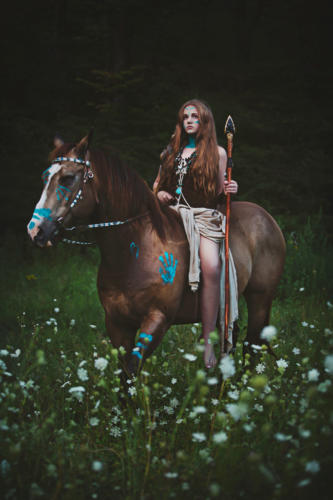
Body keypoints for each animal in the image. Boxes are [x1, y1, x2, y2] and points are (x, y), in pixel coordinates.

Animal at [27, 135, 284, 374]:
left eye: (68, 178)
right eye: (44, 177)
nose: (36, 231)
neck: (134, 251)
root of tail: (268, 219)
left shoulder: (157, 319)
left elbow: (133, 367)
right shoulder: (117, 323)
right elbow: (124, 375)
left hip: (260, 299)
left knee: (251, 347)